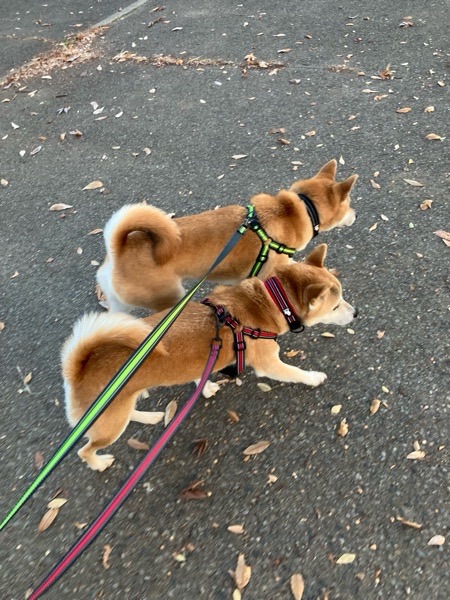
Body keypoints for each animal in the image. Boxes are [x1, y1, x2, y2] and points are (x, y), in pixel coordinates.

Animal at [63, 244, 357, 471]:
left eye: (343, 296)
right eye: (335, 306)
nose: (356, 314)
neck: (271, 302)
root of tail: (78, 369)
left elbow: (199, 375)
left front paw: (204, 387)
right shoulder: (270, 364)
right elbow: (296, 373)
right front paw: (314, 377)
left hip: (116, 410)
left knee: (128, 413)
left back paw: (149, 416)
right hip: (109, 423)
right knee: (86, 450)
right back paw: (99, 463)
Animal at [96, 160, 358, 313]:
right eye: (350, 204)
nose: (356, 215)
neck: (301, 207)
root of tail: (117, 253)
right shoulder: (269, 274)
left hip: (120, 305)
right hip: (170, 298)